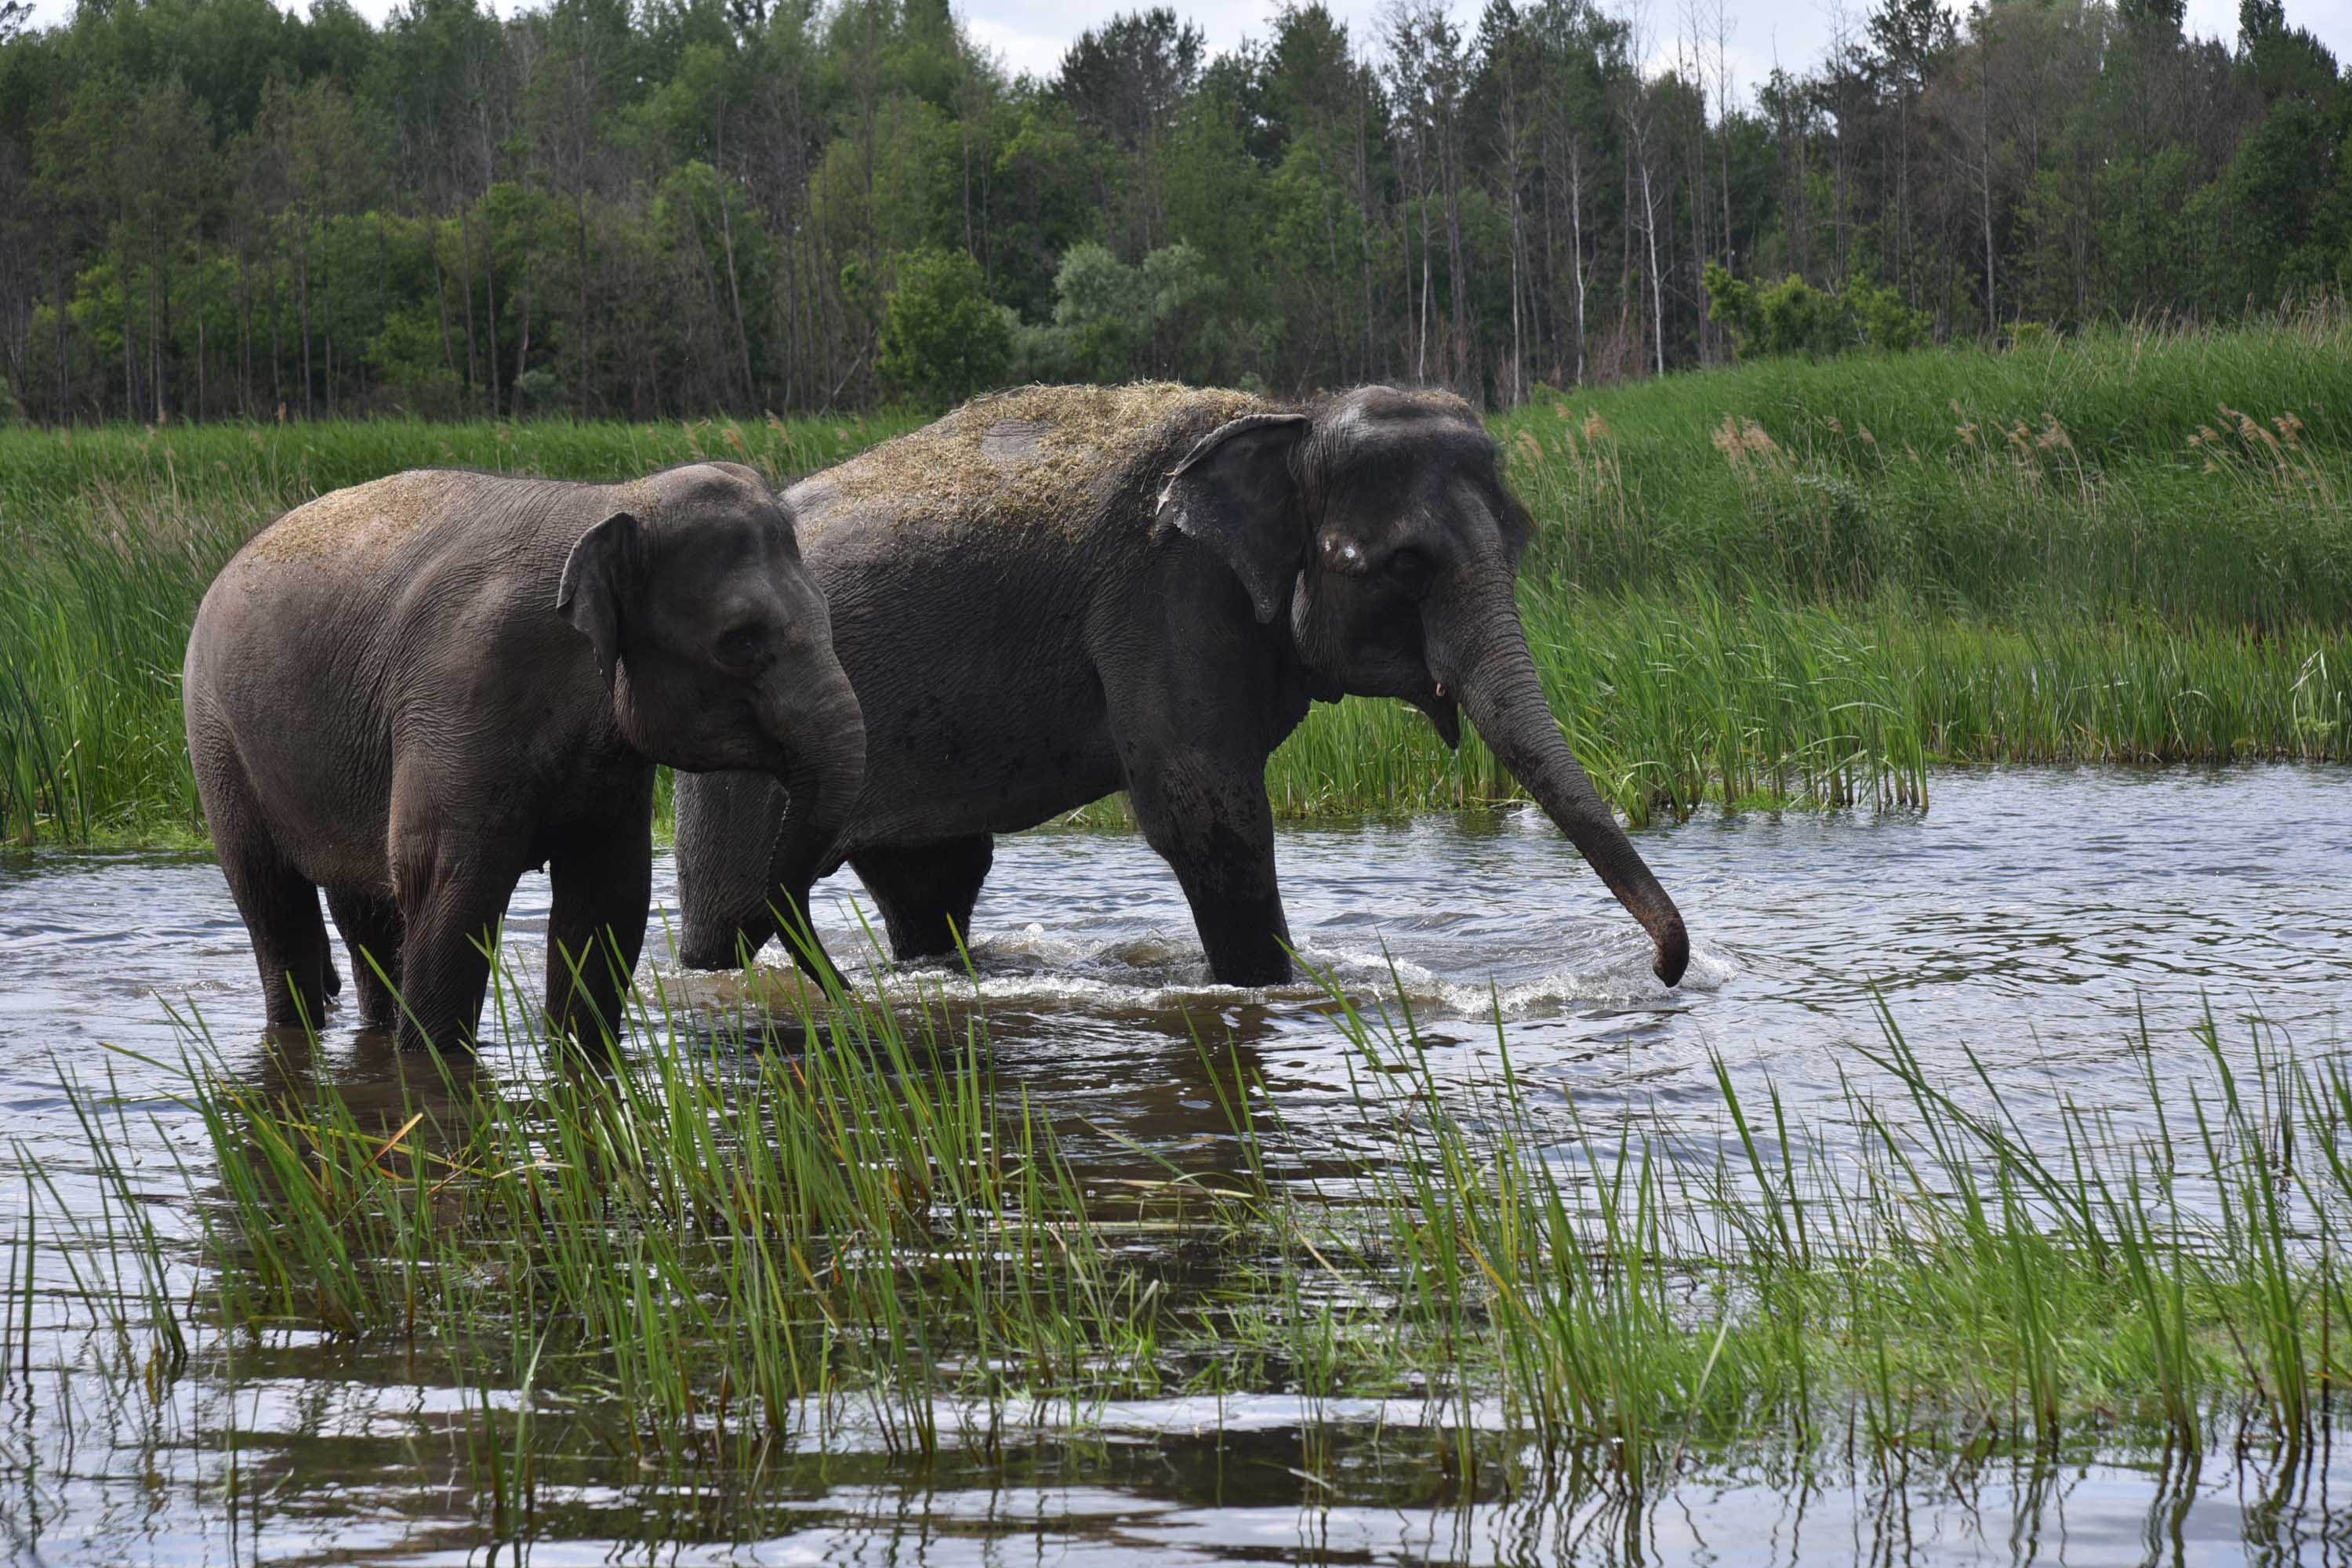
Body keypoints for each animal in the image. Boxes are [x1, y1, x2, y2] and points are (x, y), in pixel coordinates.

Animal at [181, 465, 866, 1053]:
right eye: (740, 642)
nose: (849, 994)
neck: (616, 500)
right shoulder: (461, 690)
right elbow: (448, 885)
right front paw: (431, 1061)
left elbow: (609, 897)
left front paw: (581, 1050)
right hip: (215, 736)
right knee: (273, 903)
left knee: (364, 912)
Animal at [673, 385, 1684, 987]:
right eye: (1404, 563)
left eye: (1520, 539)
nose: (1666, 971)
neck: (1286, 420)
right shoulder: (1162, 599)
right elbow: (1206, 810)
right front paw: (1265, 986)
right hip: (742, 741)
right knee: (735, 909)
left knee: (938, 881)